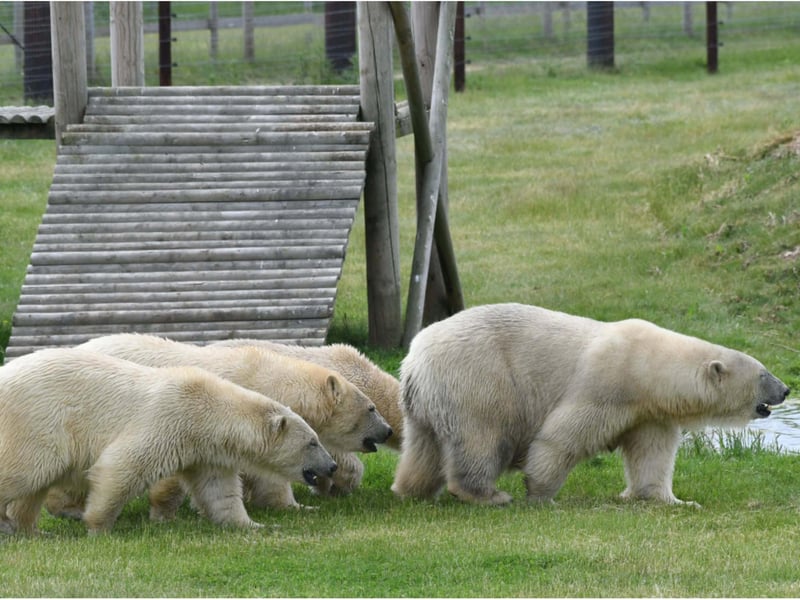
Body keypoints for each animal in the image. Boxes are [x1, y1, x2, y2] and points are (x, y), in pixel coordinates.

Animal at [0, 347, 337, 535]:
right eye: (312, 442)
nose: (332, 466)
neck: (207, 410)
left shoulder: (207, 452)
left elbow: (219, 492)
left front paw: (256, 526)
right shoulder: (167, 417)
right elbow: (121, 465)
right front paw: (99, 527)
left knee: (36, 484)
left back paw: (31, 530)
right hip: (37, 420)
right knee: (27, 470)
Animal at [391, 303, 790, 507]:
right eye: (763, 374)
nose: (786, 390)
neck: (647, 367)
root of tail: (414, 362)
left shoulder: (648, 411)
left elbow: (652, 454)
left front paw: (670, 500)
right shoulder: (606, 383)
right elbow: (562, 437)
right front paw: (541, 494)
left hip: (427, 403)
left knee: (423, 448)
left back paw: (412, 489)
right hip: (477, 381)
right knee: (482, 437)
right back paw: (489, 495)